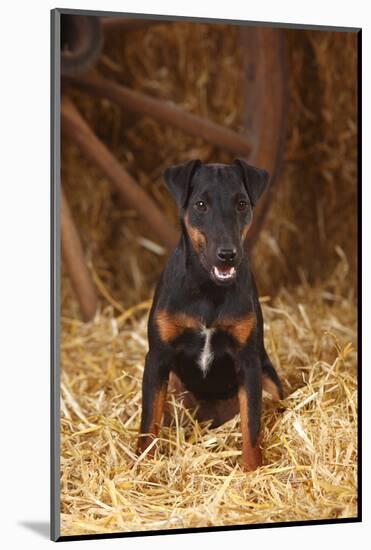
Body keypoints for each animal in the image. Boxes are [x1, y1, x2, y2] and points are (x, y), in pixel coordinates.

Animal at [138, 161, 284, 474]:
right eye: (200, 205)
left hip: (269, 381)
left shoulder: (248, 362)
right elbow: (148, 422)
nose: (227, 255)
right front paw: (142, 467)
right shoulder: (157, 358)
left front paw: (251, 472)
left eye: (242, 204)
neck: (207, 287)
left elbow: (251, 426)